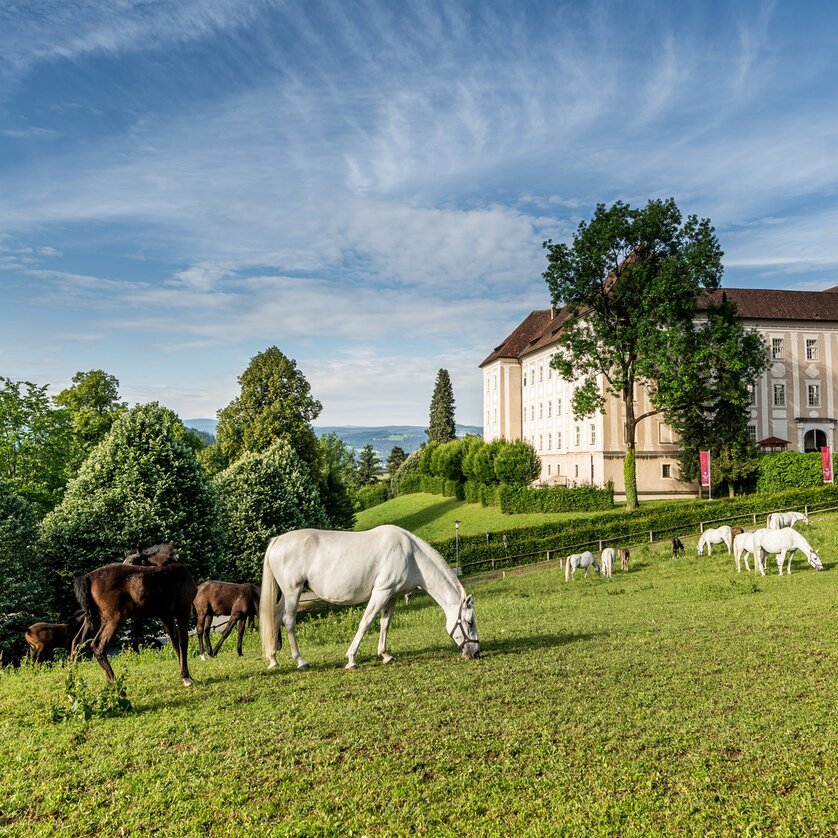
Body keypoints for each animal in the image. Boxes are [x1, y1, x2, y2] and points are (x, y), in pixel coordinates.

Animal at [260, 528, 482, 672]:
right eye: (469, 622)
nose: (475, 653)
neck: (412, 555)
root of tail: (278, 540)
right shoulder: (381, 592)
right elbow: (366, 623)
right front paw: (351, 659)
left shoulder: (392, 596)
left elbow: (385, 624)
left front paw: (385, 655)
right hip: (293, 592)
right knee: (288, 621)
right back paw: (301, 661)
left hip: (286, 595)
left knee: (276, 618)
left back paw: (273, 659)